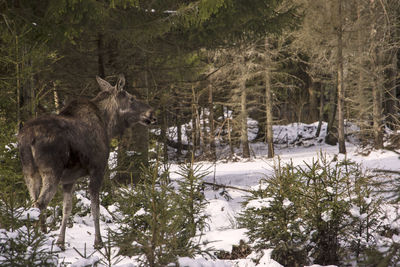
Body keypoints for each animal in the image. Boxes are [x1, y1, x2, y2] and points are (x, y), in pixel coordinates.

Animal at [18, 75, 156, 251]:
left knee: (32, 204)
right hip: (51, 171)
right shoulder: (98, 168)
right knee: (39, 205)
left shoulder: (69, 179)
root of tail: (29, 138)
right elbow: (95, 208)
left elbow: (67, 209)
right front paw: (98, 242)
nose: (152, 113)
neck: (108, 125)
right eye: (131, 98)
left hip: (29, 171)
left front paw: (60, 242)